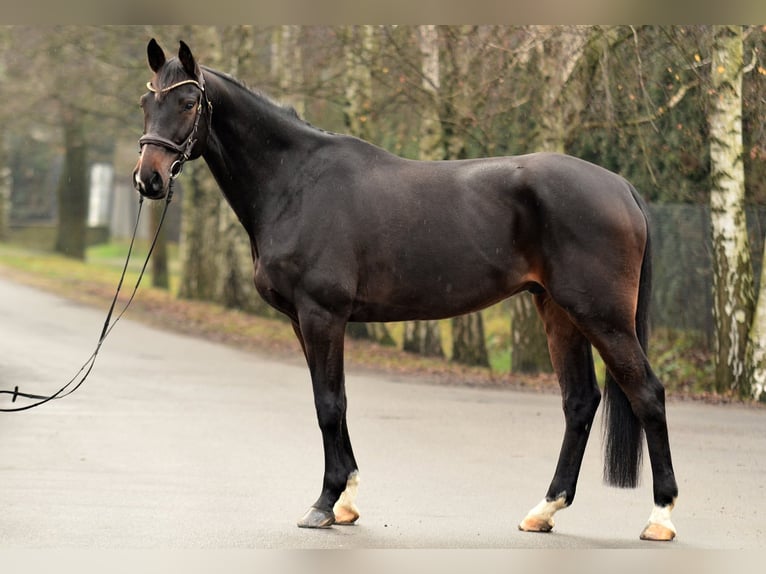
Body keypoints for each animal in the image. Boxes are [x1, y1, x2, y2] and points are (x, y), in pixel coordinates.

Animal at [133, 39, 678, 541]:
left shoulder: (322, 315)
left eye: (188, 103)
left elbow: (329, 403)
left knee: (647, 394)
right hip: (559, 312)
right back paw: (545, 510)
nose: (149, 180)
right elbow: (331, 400)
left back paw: (661, 517)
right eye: (146, 102)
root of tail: (621, 187)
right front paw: (347, 501)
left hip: (602, 316)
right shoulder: (301, 321)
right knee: (580, 402)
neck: (297, 182)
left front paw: (325, 503)